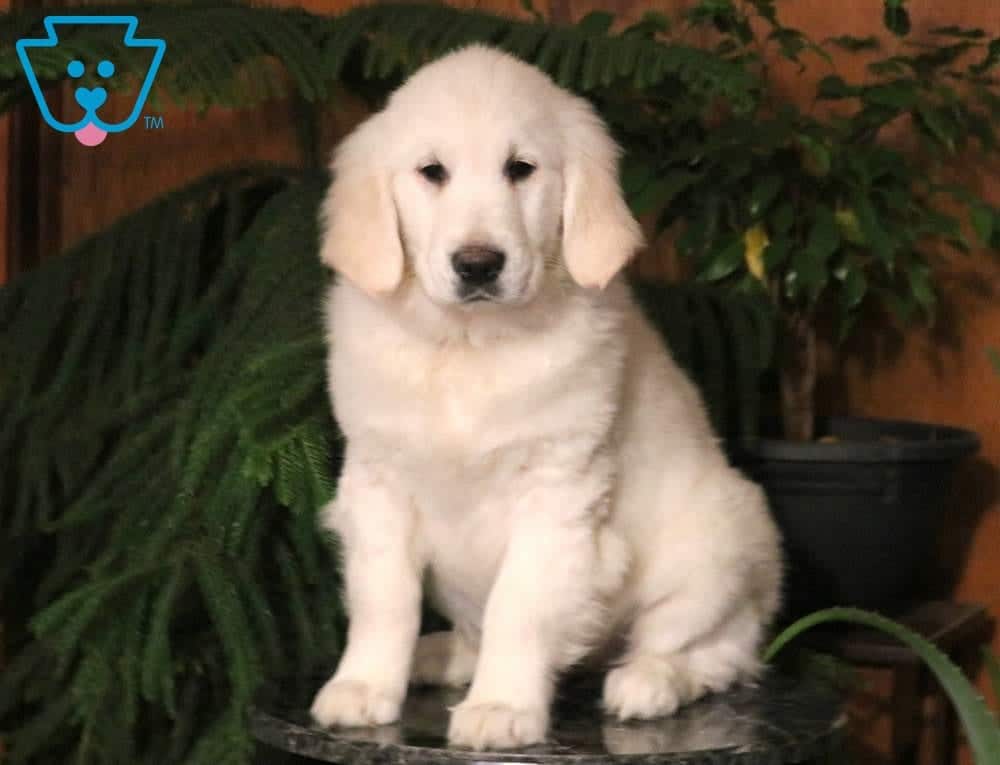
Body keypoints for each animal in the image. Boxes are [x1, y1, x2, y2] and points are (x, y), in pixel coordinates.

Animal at [310, 45, 783, 751]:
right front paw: (364, 686)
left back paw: (650, 681)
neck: (469, 347)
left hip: (718, 543)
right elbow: (382, 598)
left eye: (521, 169)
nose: (479, 264)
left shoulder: (558, 490)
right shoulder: (377, 481)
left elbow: (520, 605)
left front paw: (502, 706)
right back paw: (444, 655)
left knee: (716, 649)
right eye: (432, 172)